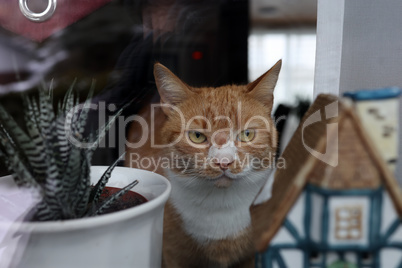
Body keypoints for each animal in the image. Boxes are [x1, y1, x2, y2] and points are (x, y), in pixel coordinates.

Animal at [127, 61, 282, 268]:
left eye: (247, 134)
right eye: (197, 136)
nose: (224, 161)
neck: (221, 207)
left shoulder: (249, 257)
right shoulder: (174, 256)